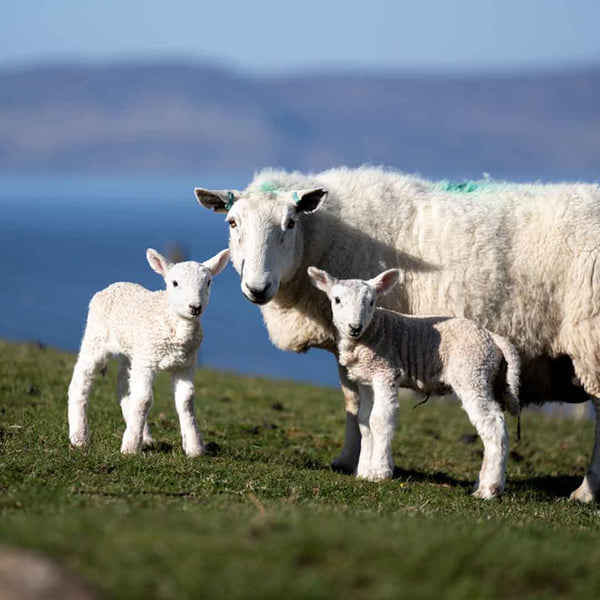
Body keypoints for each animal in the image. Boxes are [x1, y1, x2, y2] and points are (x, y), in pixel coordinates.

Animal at [68, 247, 230, 454]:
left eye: (208, 282)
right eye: (175, 283)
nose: (195, 307)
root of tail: (115, 285)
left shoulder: (186, 364)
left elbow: (186, 401)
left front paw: (194, 448)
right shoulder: (146, 361)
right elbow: (144, 400)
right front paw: (129, 448)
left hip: (132, 352)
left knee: (125, 386)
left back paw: (143, 437)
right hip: (96, 338)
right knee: (81, 380)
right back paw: (79, 437)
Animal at [310, 266, 520, 496]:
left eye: (372, 302)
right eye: (337, 300)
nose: (355, 327)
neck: (372, 332)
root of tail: (493, 337)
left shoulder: (386, 371)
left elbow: (379, 419)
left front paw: (379, 473)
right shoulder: (366, 380)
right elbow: (364, 421)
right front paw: (364, 472)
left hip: (472, 373)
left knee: (494, 425)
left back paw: (489, 489)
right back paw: (481, 484)